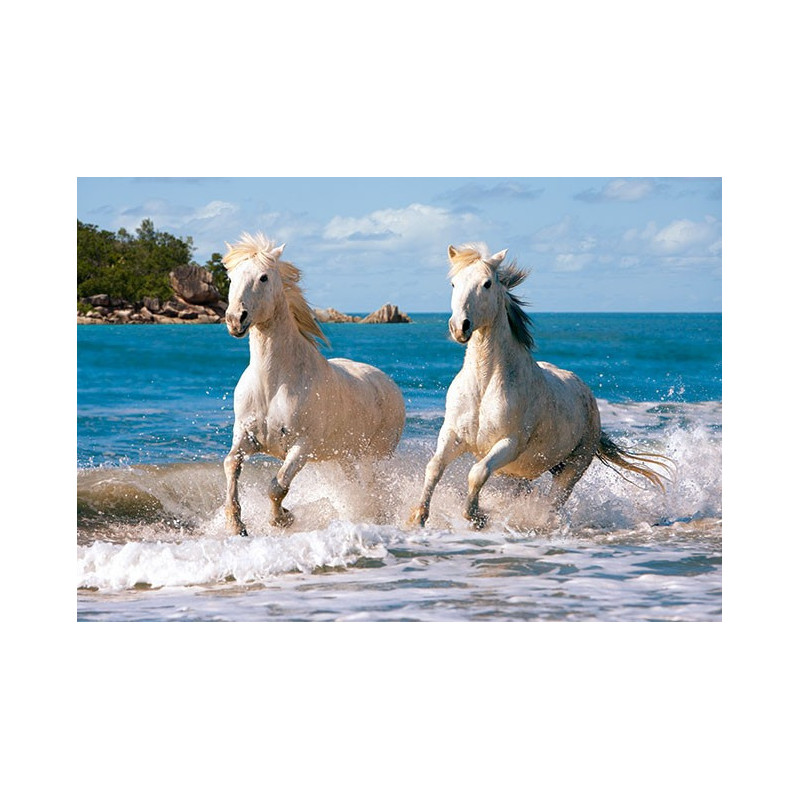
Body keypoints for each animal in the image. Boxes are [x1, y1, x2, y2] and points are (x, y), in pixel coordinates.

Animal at [220, 234, 404, 536]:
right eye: (231, 277)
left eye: (263, 277)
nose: (236, 319)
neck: (273, 384)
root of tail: (390, 384)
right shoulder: (245, 437)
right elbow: (232, 464)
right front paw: (237, 525)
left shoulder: (301, 447)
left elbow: (277, 485)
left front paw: (283, 519)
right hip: (342, 457)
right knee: (353, 487)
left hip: (374, 456)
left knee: (372, 487)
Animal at [410, 244, 672, 532]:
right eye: (454, 283)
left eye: (487, 283)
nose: (460, 327)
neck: (484, 384)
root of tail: (588, 397)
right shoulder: (453, 435)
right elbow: (434, 467)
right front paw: (418, 516)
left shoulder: (509, 444)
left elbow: (477, 473)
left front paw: (477, 517)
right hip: (519, 475)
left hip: (572, 468)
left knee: (553, 502)